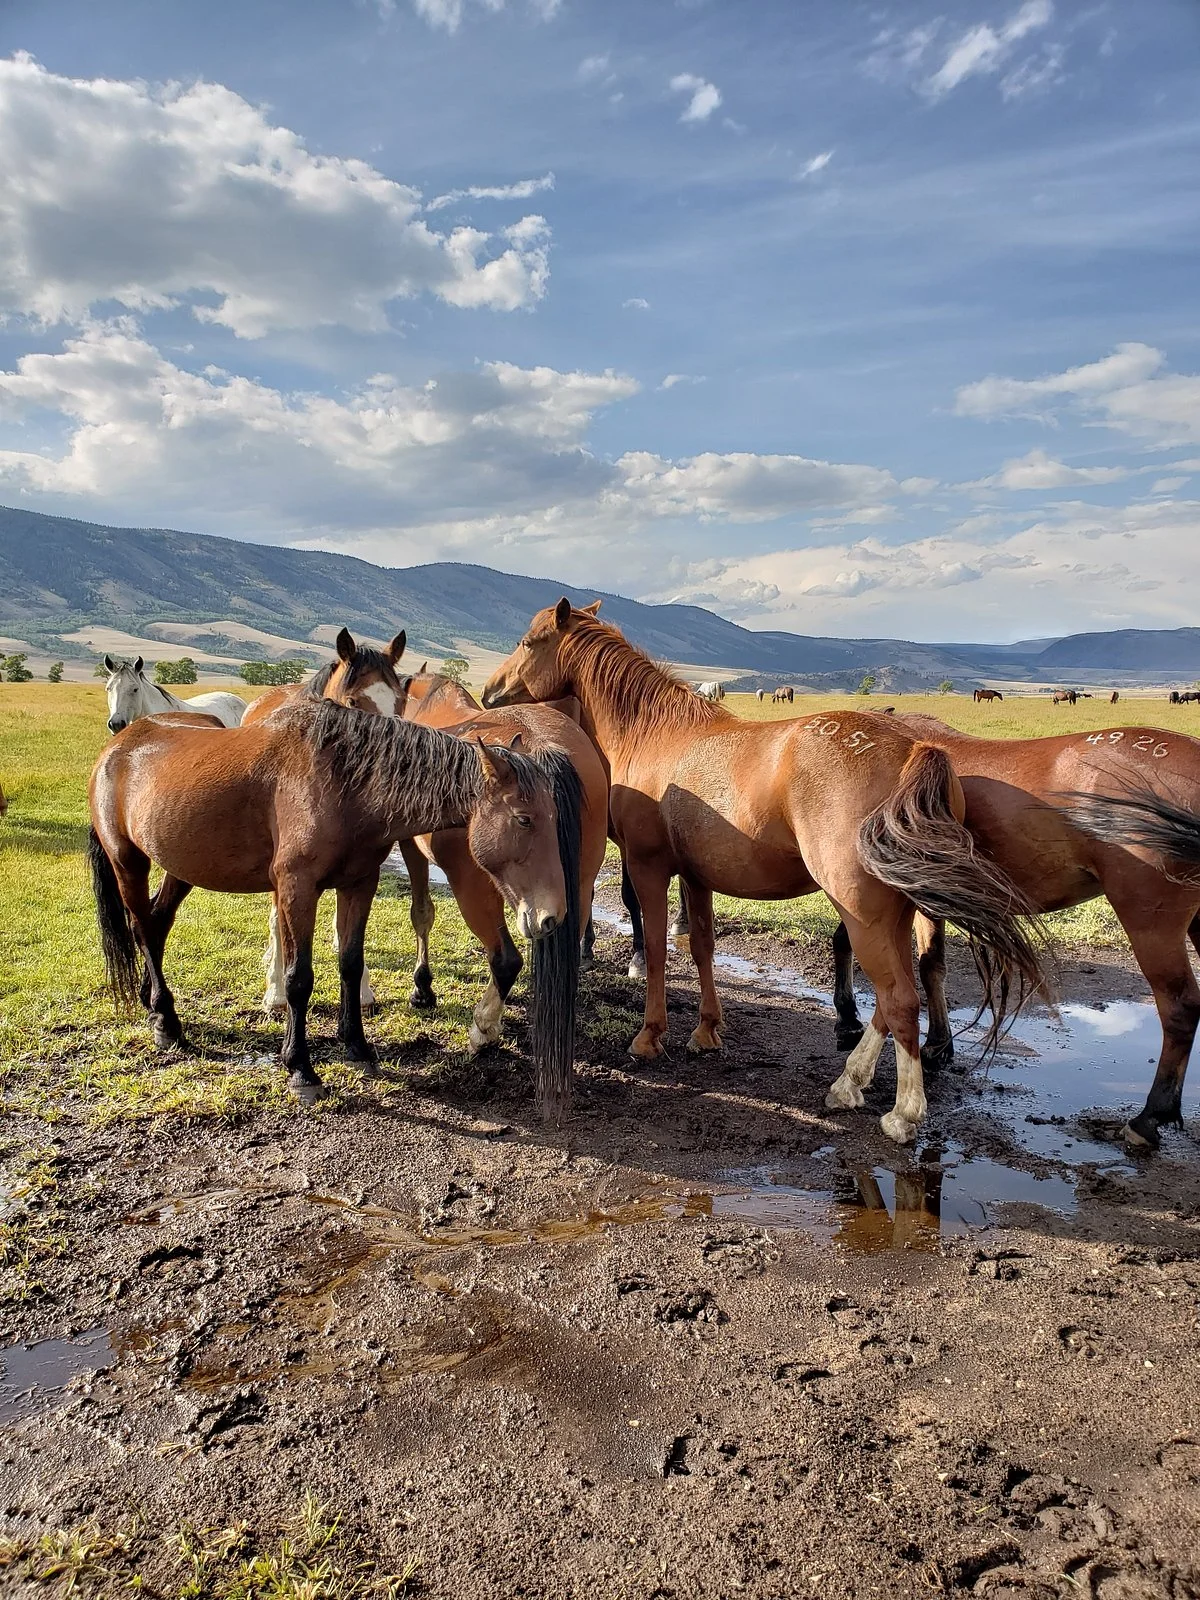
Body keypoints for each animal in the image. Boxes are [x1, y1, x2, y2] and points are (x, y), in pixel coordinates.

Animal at [88, 698, 574, 1112]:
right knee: (142, 927)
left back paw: (155, 1006)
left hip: (181, 869)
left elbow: (350, 964)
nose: (552, 916)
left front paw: (357, 1047)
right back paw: (166, 1024)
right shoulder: (297, 887)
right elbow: (299, 978)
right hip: (128, 862)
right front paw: (301, 1069)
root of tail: (118, 745)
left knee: (157, 924)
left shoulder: (359, 884)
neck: (345, 782)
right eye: (524, 819)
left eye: (553, 816)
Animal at [482, 600, 1047, 1146]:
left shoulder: (649, 868)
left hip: (863, 913)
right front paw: (707, 1031)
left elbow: (660, 950)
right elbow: (702, 946)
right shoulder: (696, 876)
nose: (489, 692)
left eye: (529, 642)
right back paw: (850, 1082)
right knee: (890, 1002)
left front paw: (650, 1035)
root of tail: (915, 749)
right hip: (894, 913)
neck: (656, 734)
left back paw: (902, 1113)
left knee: (899, 1001)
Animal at [828, 712, 1200, 1148]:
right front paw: (938, 1043)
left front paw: (850, 1017)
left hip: (1150, 923)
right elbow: (932, 966)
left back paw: (1148, 1119)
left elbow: (877, 952)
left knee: (1179, 1006)